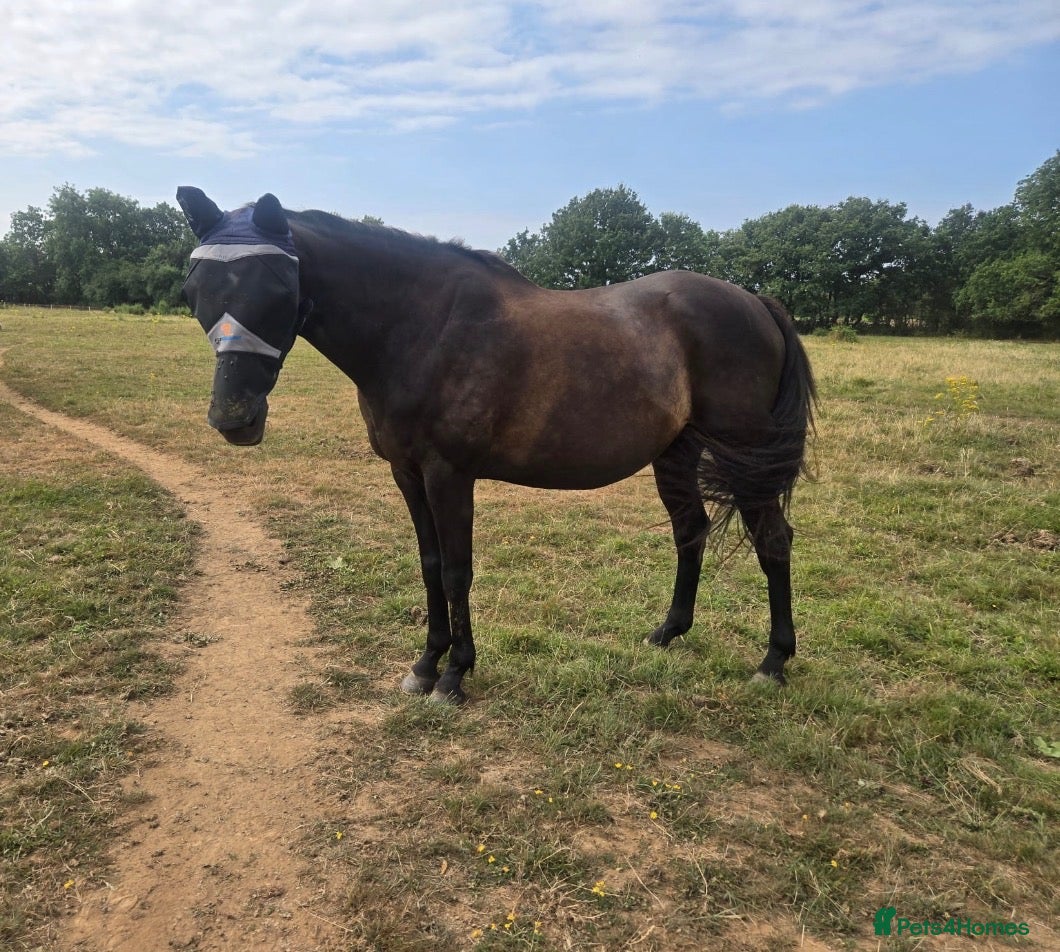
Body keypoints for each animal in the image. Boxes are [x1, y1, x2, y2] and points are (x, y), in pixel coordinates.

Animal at [176, 187, 817, 704]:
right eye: (194, 289)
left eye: (279, 285)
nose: (234, 417)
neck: (421, 328)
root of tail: (757, 302)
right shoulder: (407, 473)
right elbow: (431, 565)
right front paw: (424, 666)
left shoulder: (449, 474)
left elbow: (458, 570)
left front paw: (454, 677)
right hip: (676, 453)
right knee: (691, 531)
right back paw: (668, 633)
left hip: (745, 459)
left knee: (772, 541)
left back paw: (773, 662)